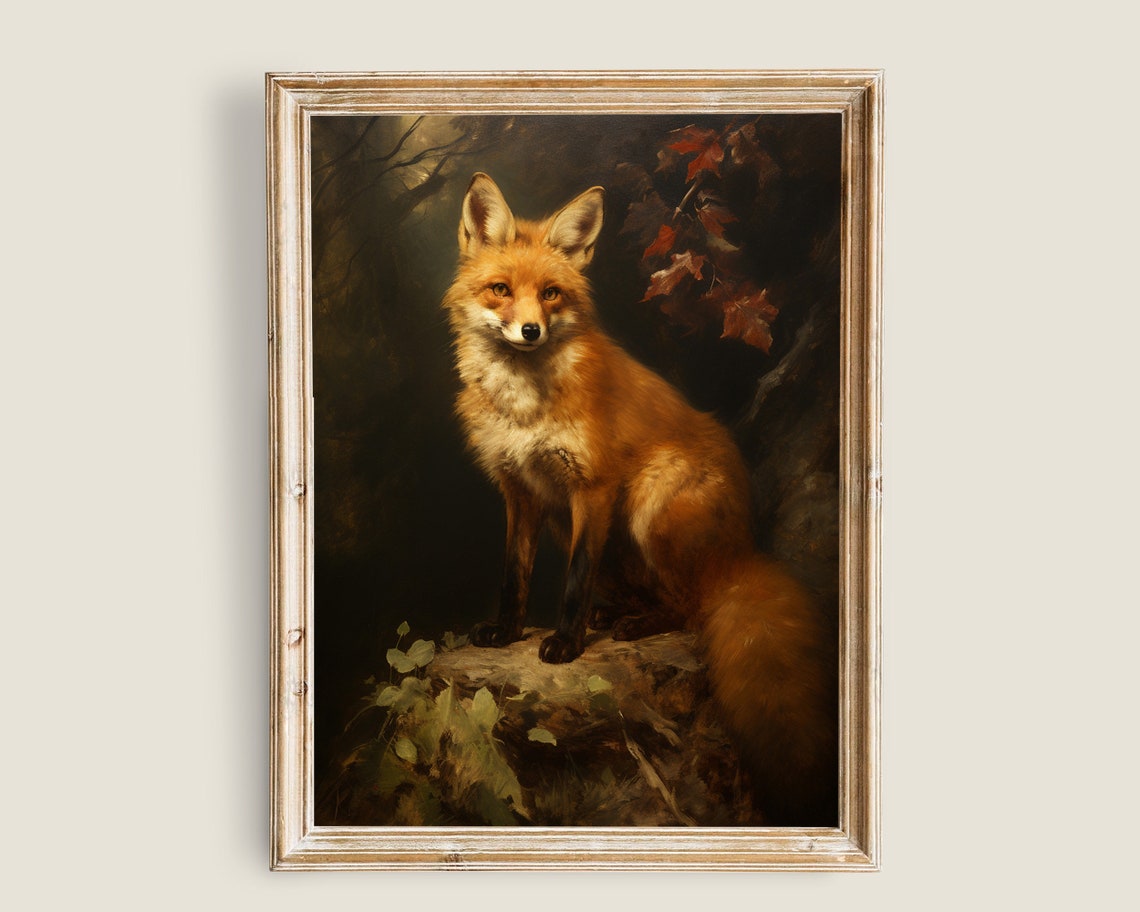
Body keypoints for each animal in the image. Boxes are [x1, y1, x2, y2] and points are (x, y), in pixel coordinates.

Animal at [443, 172, 837, 826]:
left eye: (551, 295)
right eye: (500, 290)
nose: (531, 331)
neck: (525, 404)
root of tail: (742, 550)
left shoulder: (592, 486)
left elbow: (574, 580)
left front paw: (566, 643)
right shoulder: (521, 490)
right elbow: (513, 573)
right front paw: (508, 630)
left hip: (649, 506)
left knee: (692, 607)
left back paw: (633, 624)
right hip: (581, 526)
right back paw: (619, 614)